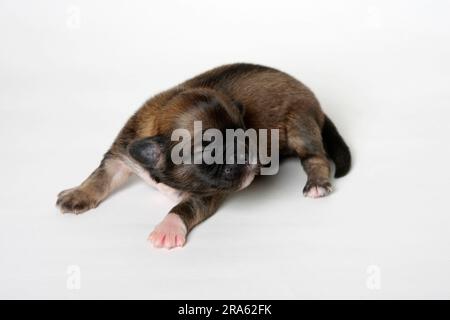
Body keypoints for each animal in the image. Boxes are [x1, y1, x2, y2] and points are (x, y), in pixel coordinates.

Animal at [56, 62, 352, 248]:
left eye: (246, 136)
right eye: (210, 151)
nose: (250, 158)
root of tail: (317, 104)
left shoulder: (205, 194)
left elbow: (182, 208)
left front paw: (167, 228)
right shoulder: (121, 153)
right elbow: (101, 176)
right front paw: (77, 194)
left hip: (300, 123)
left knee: (316, 157)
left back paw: (317, 183)